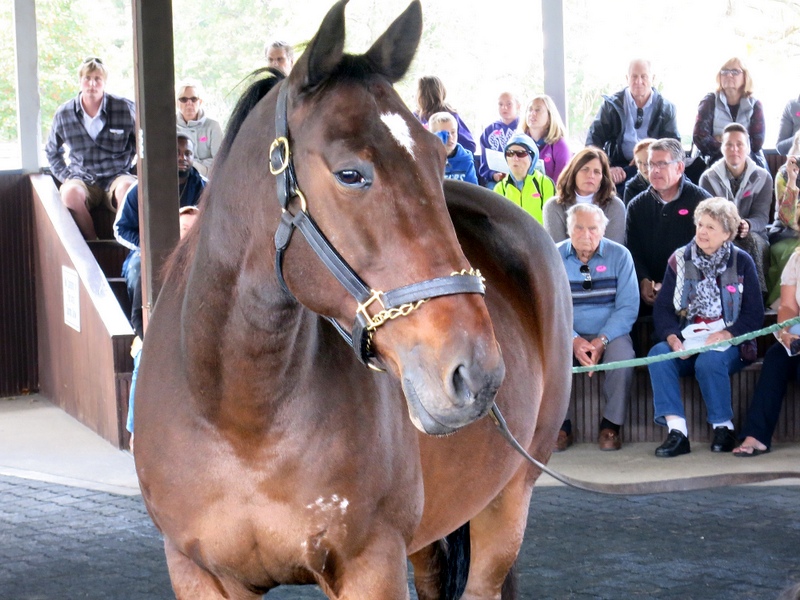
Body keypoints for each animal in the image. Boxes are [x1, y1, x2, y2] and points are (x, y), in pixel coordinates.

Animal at [138, 2, 572, 596]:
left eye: (438, 158)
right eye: (350, 173)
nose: (476, 372)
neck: (239, 416)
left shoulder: (371, 565)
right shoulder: (196, 571)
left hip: (508, 502)